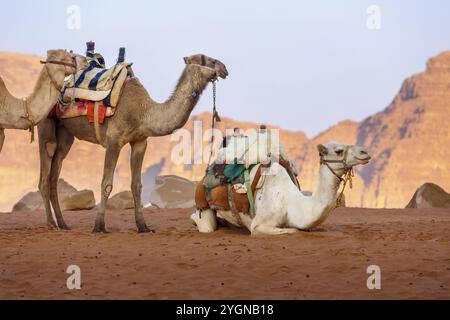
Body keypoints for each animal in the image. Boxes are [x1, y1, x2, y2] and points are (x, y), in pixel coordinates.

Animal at [37, 53, 229, 232]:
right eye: (208, 60)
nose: (225, 69)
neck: (144, 112)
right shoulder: (114, 140)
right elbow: (106, 184)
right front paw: (99, 226)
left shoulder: (140, 142)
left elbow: (137, 185)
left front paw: (143, 226)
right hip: (45, 122)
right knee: (45, 174)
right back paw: (50, 224)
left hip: (65, 133)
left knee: (54, 173)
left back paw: (62, 224)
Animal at [190, 142, 370, 235]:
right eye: (339, 151)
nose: (365, 152)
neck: (291, 203)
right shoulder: (259, 226)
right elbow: (294, 230)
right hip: (202, 203)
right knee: (204, 224)